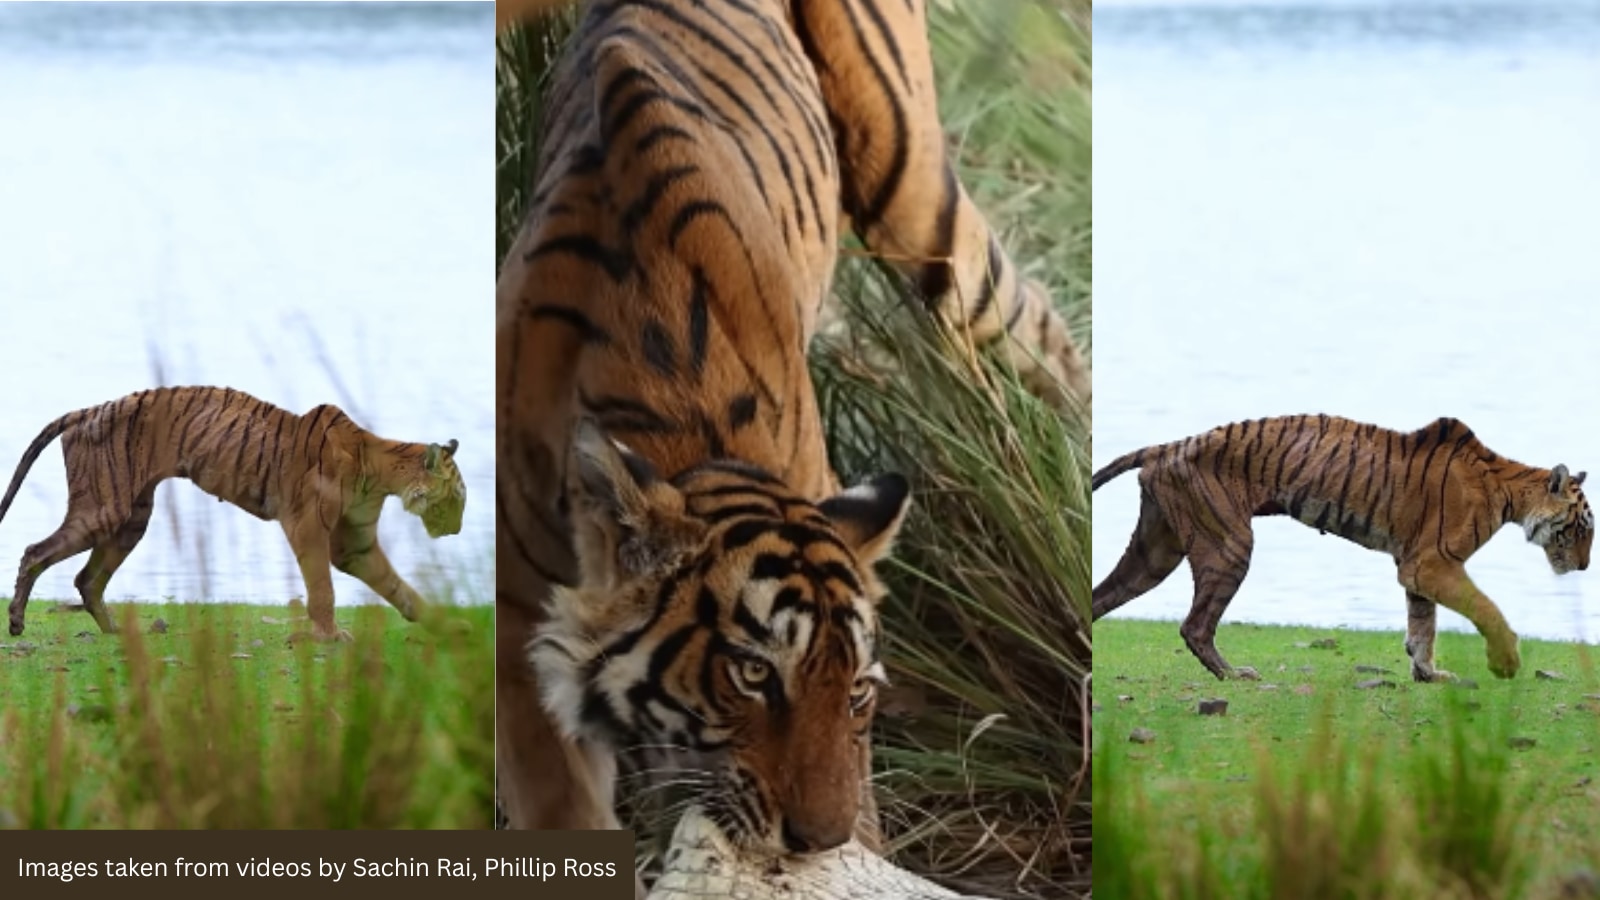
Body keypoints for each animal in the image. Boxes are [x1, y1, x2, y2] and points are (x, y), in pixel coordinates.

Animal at [1, 386, 466, 642]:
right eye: (457, 498)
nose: (458, 530)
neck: (379, 470)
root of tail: (87, 409)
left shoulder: (356, 545)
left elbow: (398, 587)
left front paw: (445, 625)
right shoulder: (309, 528)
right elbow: (322, 589)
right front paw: (329, 637)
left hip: (130, 520)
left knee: (85, 578)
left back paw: (113, 631)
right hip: (104, 509)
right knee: (34, 552)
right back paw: (17, 623)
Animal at [494, 0, 1089, 868]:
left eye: (857, 690)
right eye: (750, 673)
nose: (818, 842)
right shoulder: (519, 622)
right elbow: (562, 805)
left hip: (916, 201)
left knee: (1034, 326)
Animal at [1092, 414, 1592, 685]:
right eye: (1581, 527)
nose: (1586, 567)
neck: (1510, 492)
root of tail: (1164, 446)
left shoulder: (1418, 570)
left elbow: (1422, 627)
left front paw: (1429, 675)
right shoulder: (1433, 564)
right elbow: (1485, 608)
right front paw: (1505, 663)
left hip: (1155, 553)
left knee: (1101, 599)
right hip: (1228, 546)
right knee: (1194, 626)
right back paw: (1235, 676)